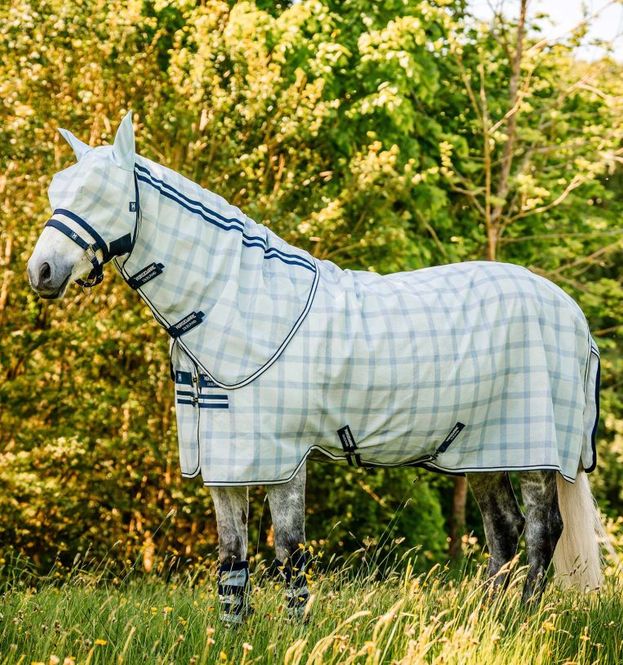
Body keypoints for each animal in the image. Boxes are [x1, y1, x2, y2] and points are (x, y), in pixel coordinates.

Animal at [28, 112, 608, 622]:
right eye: (58, 191)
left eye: (101, 193)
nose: (41, 272)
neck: (240, 300)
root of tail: (571, 314)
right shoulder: (226, 461)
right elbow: (232, 559)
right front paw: (230, 635)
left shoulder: (282, 457)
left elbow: (289, 554)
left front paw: (295, 632)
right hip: (481, 450)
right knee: (504, 530)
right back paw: (483, 622)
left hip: (533, 452)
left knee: (540, 532)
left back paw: (521, 621)